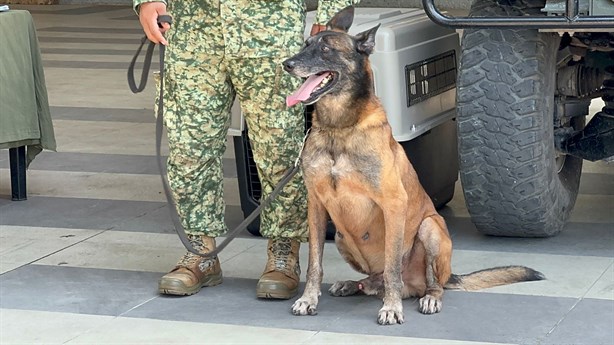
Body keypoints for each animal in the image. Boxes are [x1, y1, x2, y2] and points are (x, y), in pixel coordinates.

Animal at [282, 5, 544, 324]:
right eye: (305, 45)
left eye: (326, 50)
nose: (287, 64)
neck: (339, 128)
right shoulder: (316, 206)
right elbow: (314, 263)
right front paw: (308, 299)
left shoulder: (394, 203)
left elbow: (393, 265)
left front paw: (392, 308)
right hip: (343, 237)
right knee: (375, 280)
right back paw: (354, 284)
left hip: (431, 228)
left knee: (427, 283)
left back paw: (427, 297)